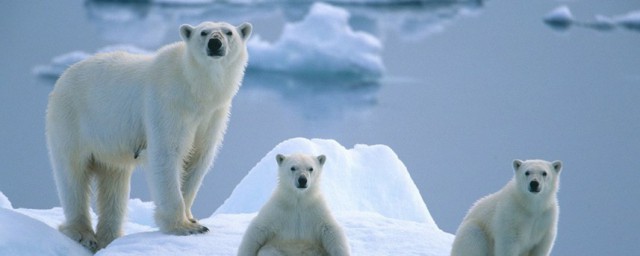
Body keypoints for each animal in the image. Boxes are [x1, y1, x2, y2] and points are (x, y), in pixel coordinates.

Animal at [45, 21, 252, 251]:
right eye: (203, 32)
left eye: (229, 32)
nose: (215, 43)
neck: (195, 89)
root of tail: (63, 77)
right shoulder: (168, 104)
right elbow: (166, 154)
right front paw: (184, 227)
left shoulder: (212, 115)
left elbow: (198, 158)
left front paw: (193, 219)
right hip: (72, 120)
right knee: (73, 174)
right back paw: (83, 234)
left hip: (108, 144)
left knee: (114, 182)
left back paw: (110, 237)